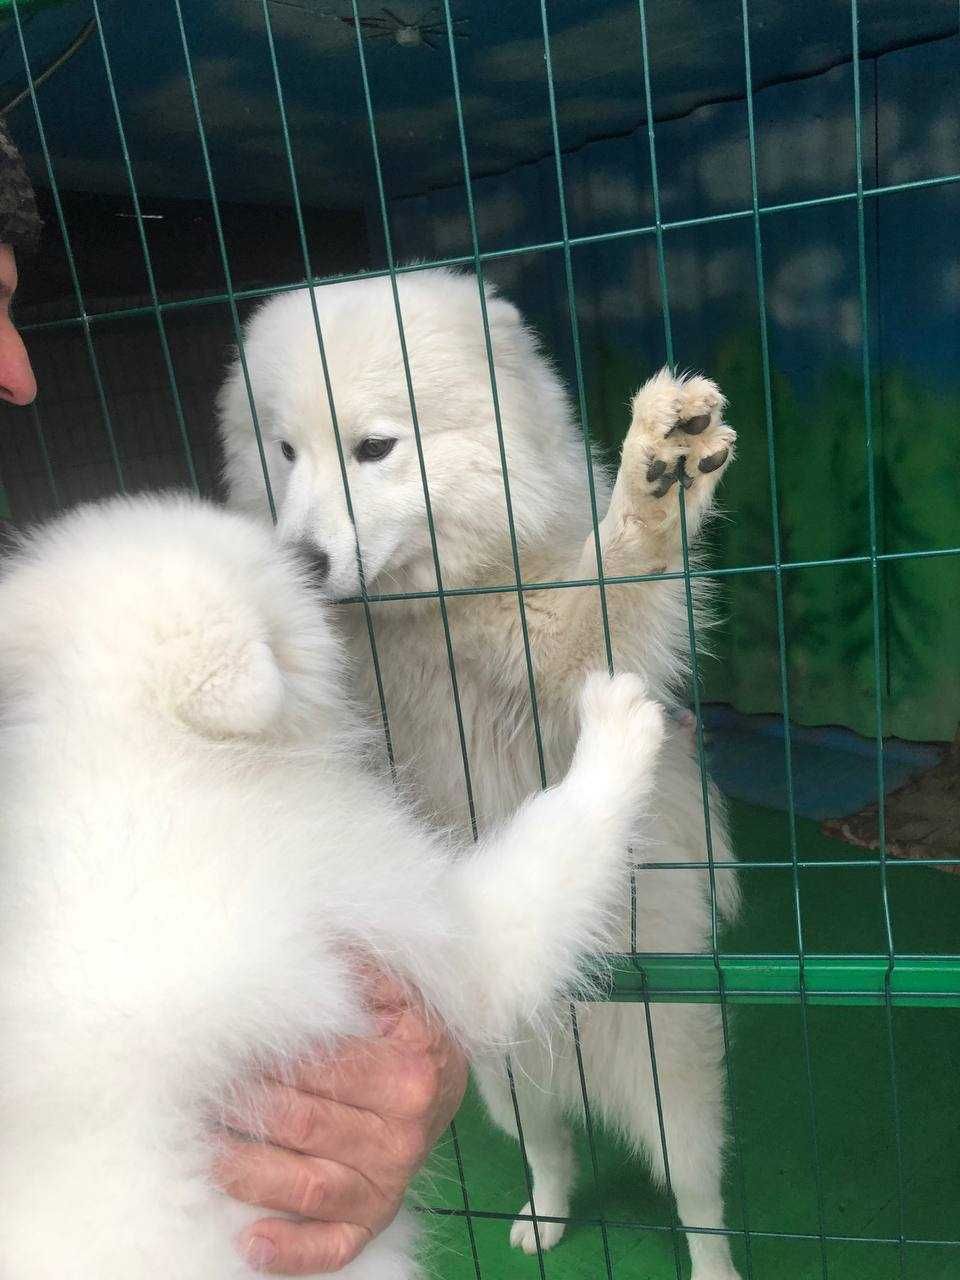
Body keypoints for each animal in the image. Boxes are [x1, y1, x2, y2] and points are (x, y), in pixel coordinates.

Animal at [0, 491, 665, 1280]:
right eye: (285, 569)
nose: (312, 557)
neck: (134, 743)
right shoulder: (429, 914)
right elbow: (554, 845)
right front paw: (619, 730)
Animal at [217, 270, 742, 1280]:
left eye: (375, 447)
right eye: (285, 451)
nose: (297, 562)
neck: (416, 615)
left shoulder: (555, 652)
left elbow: (617, 572)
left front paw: (657, 473)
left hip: (674, 1078)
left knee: (699, 1200)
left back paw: (715, 1267)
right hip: (506, 1082)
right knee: (552, 1150)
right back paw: (543, 1220)